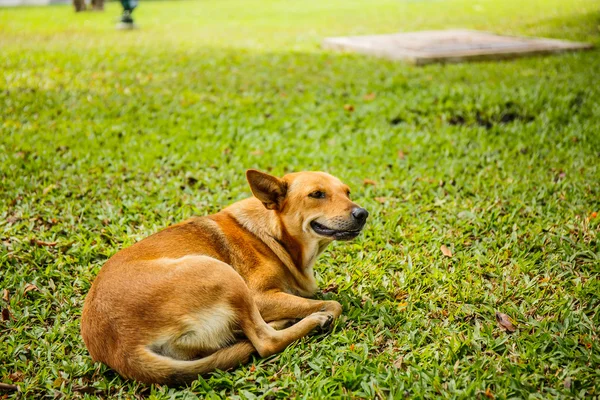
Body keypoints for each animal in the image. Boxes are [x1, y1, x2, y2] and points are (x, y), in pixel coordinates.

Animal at [79, 169, 368, 384]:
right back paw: (302, 321)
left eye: (347, 192)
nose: (363, 213)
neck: (274, 233)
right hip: (223, 274)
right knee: (266, 342)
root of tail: (121, 350)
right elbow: (333, 303)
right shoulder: (260, 297)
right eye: (317, 194)